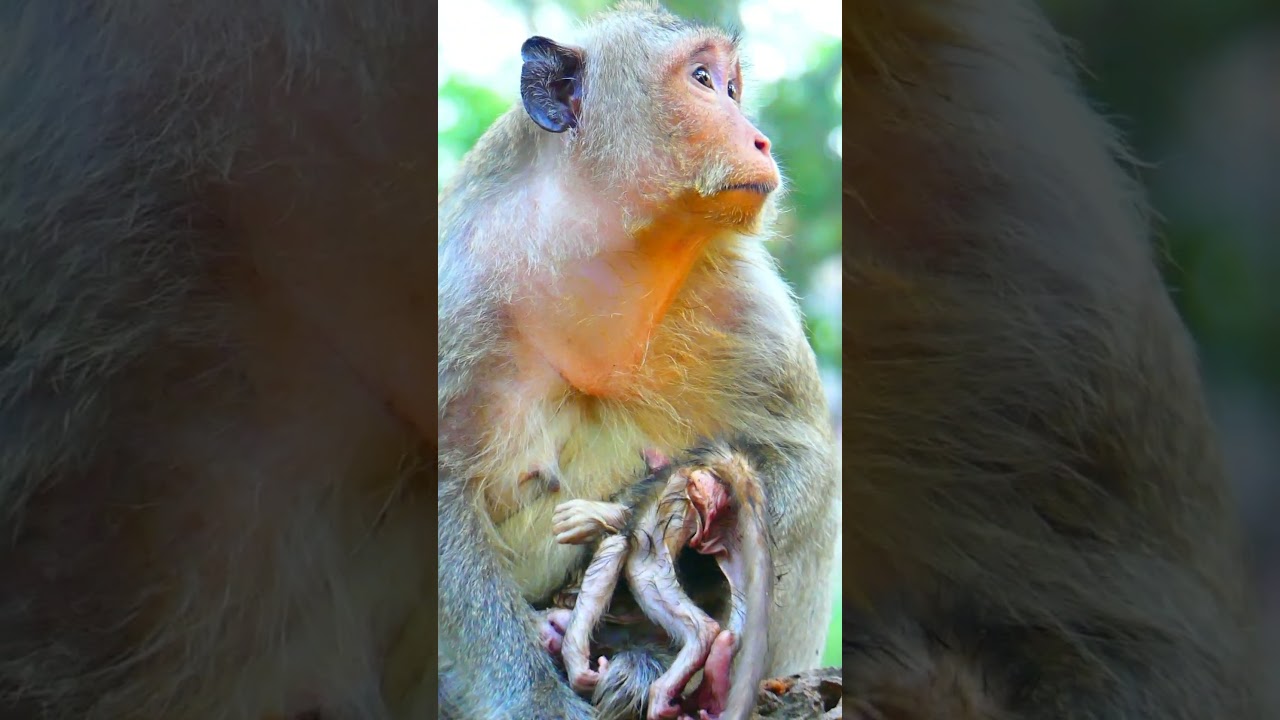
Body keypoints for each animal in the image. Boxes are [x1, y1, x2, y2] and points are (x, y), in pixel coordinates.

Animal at [542, 445, 773, 720]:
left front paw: (576, 662)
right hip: (728, 530)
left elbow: (614, 548)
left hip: (674, 500)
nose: (549, 635)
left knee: (643, 563)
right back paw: (717, 673)